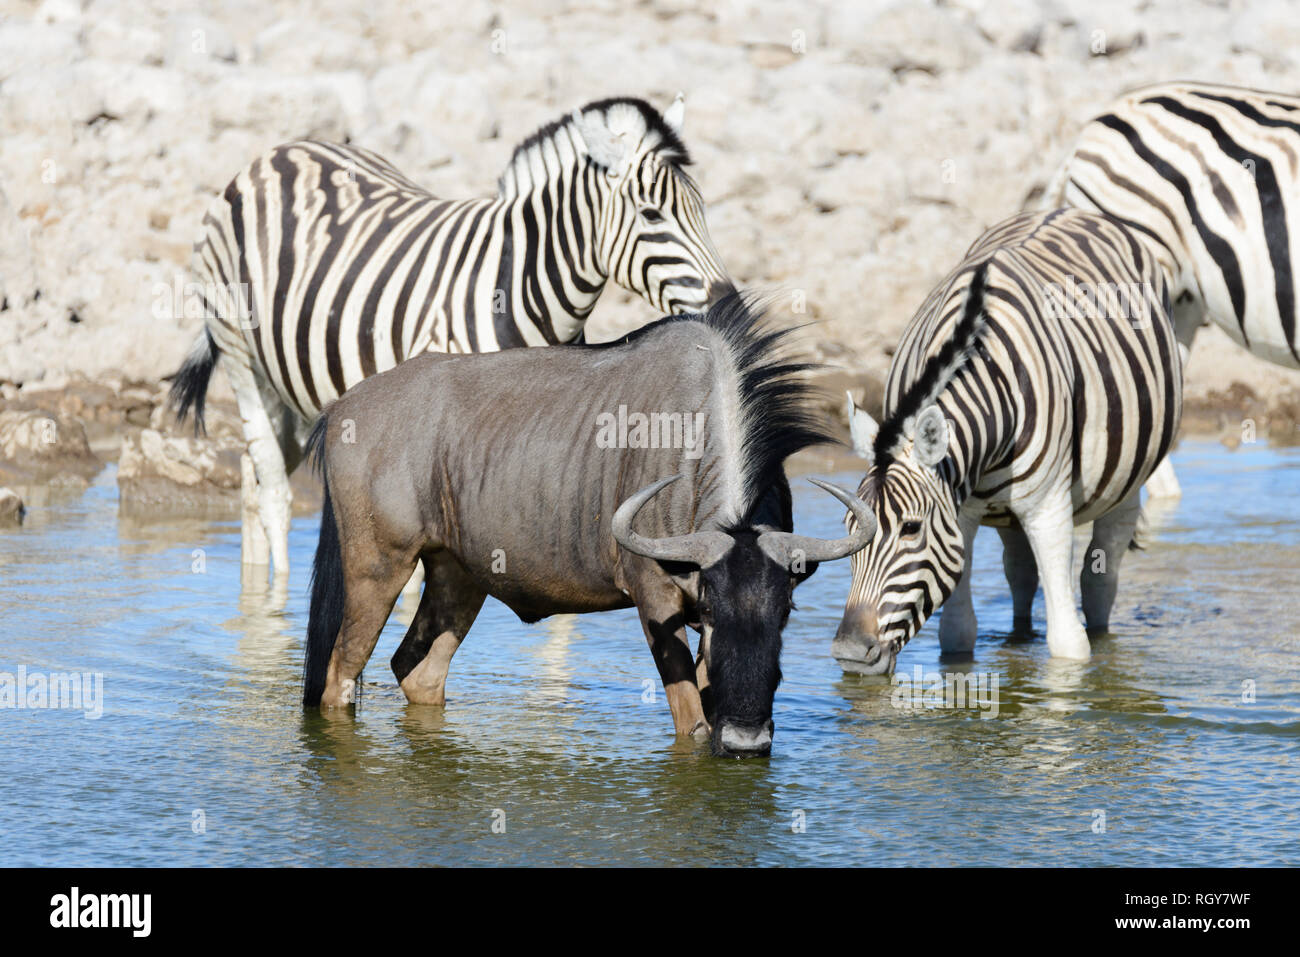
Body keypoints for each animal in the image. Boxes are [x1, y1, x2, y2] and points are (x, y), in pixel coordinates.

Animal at [167, 95, 733, 574]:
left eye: (703, 210)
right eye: (651, 214)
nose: (726, 299)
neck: (522, 287)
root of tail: (281, 151)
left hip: (295, 382)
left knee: (254, 472)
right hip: (240, 354)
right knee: (272, 487)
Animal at [837, 209, 1185, 670]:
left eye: (911, 529)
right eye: (849, 528)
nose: (850, 653)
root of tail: (1066, 210)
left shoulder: (1048, 509)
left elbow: (1069, 644)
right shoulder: (960, 512)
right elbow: (958, 634)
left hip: (1124, 483)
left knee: (1100, 582)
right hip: (1004, 511)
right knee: (1021, 572)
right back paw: (1018, 638)